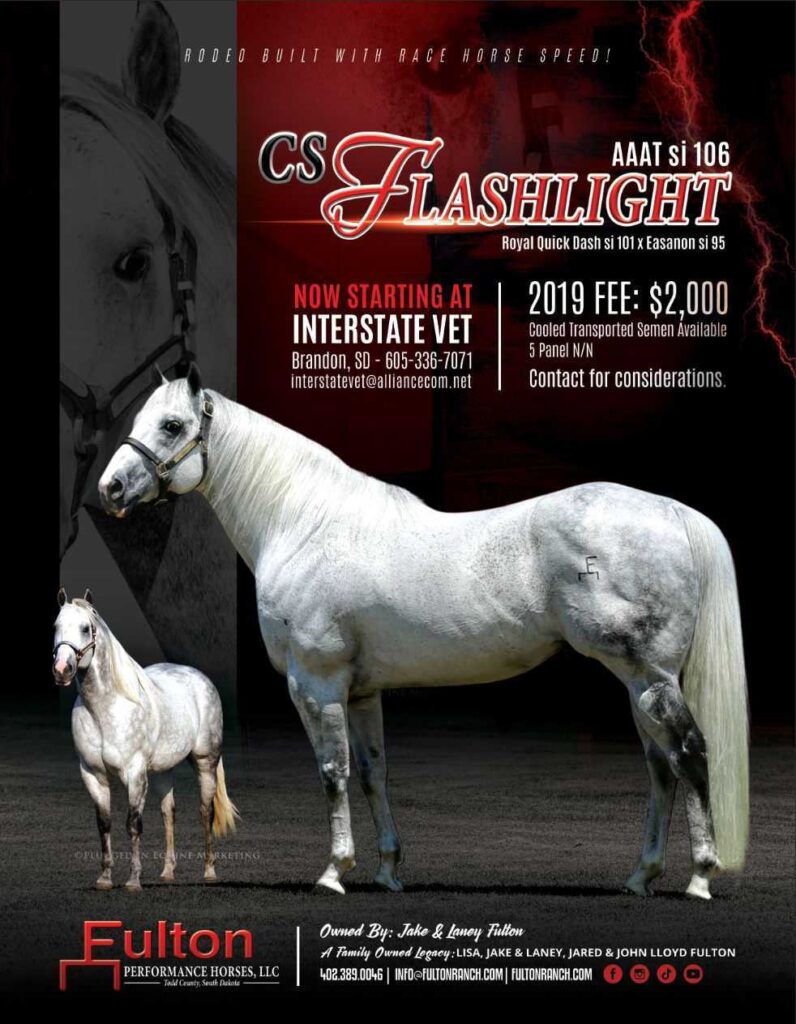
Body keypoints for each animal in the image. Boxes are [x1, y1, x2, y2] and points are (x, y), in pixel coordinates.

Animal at [52, 586, 239, 891]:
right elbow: (104, 823)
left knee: (205, 811)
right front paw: (104, 878)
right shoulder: (92, 773)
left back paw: (210, 872)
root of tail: (199, 677)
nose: (61, 669)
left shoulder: (135, 773)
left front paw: (133, 880)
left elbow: (133, 823)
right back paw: (167, 872)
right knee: (168, 813)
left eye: (85, 628)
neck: (105, 709)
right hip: (163, 769)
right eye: (56, 626)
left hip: (205, 761)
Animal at [99, 368, 749, 900]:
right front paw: (387, 869)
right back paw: (641, 876)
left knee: (689, 754)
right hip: (642, 682)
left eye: (173, 424)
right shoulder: (361, 691)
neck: (304, 523)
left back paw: (699, 877)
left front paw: (334, 871)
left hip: (649, 676)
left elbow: (333, 773)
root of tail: (672, 511)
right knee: (660, 767)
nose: (110, 489)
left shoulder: (315, 684)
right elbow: (372, 773)